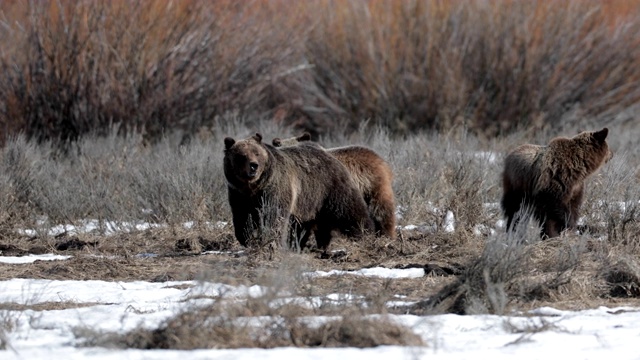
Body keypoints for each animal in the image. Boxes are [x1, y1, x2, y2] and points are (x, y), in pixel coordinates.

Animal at [225, 133, 376, 250]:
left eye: (256, 153)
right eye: (241, 155)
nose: (253, 166)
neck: (254, 187)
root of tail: (326, 152)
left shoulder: (275, 189)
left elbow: (273, 215)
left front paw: (268, 238)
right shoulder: (239, 194)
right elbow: (242, 218)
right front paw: (247, 238)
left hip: (330, 189)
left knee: (350, 212)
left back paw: (365, 234)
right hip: (307, 202)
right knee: (304, 226)